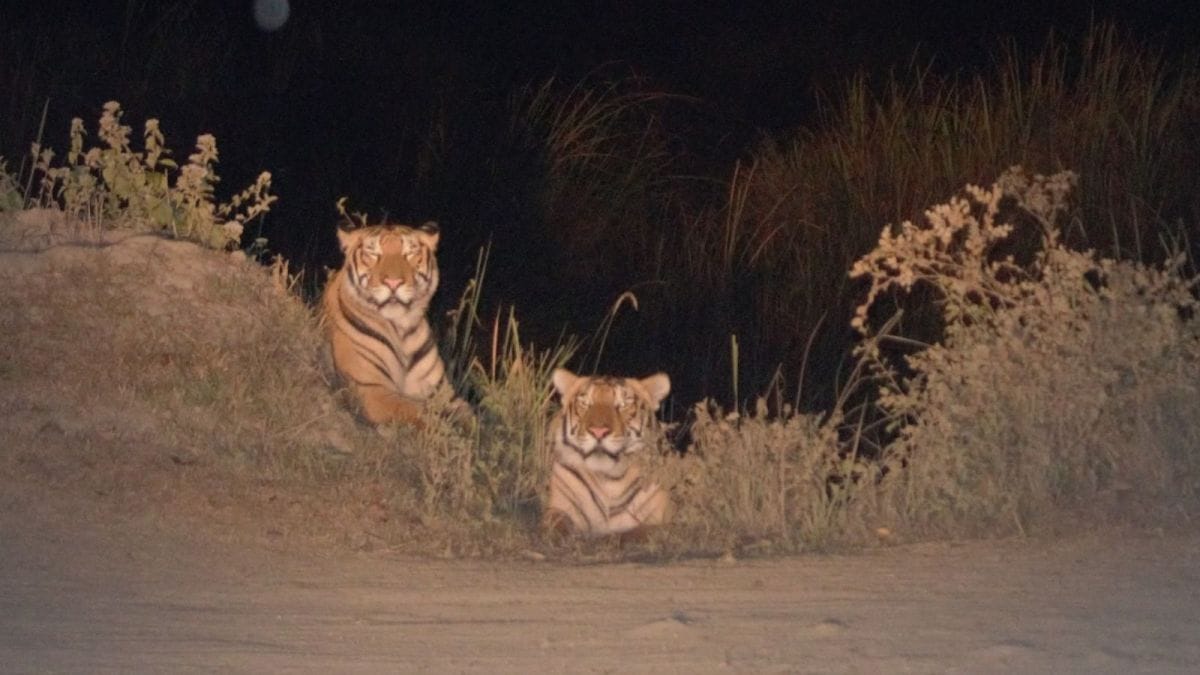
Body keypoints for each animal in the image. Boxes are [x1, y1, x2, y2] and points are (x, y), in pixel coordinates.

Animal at [321, 218, 463, 428]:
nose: (393, 282)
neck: (401, 328)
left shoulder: (446, 397)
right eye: (373, 254)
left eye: (409, 253)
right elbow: (417, 411)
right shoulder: (371, 388)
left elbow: (474, 422)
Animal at [542, 367, 673, 538]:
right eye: (585, 404)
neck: (609, 480)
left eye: (623, 405)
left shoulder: (660, 519)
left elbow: (640, 532)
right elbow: (557, 525)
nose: (598, 431)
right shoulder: (558, 508)